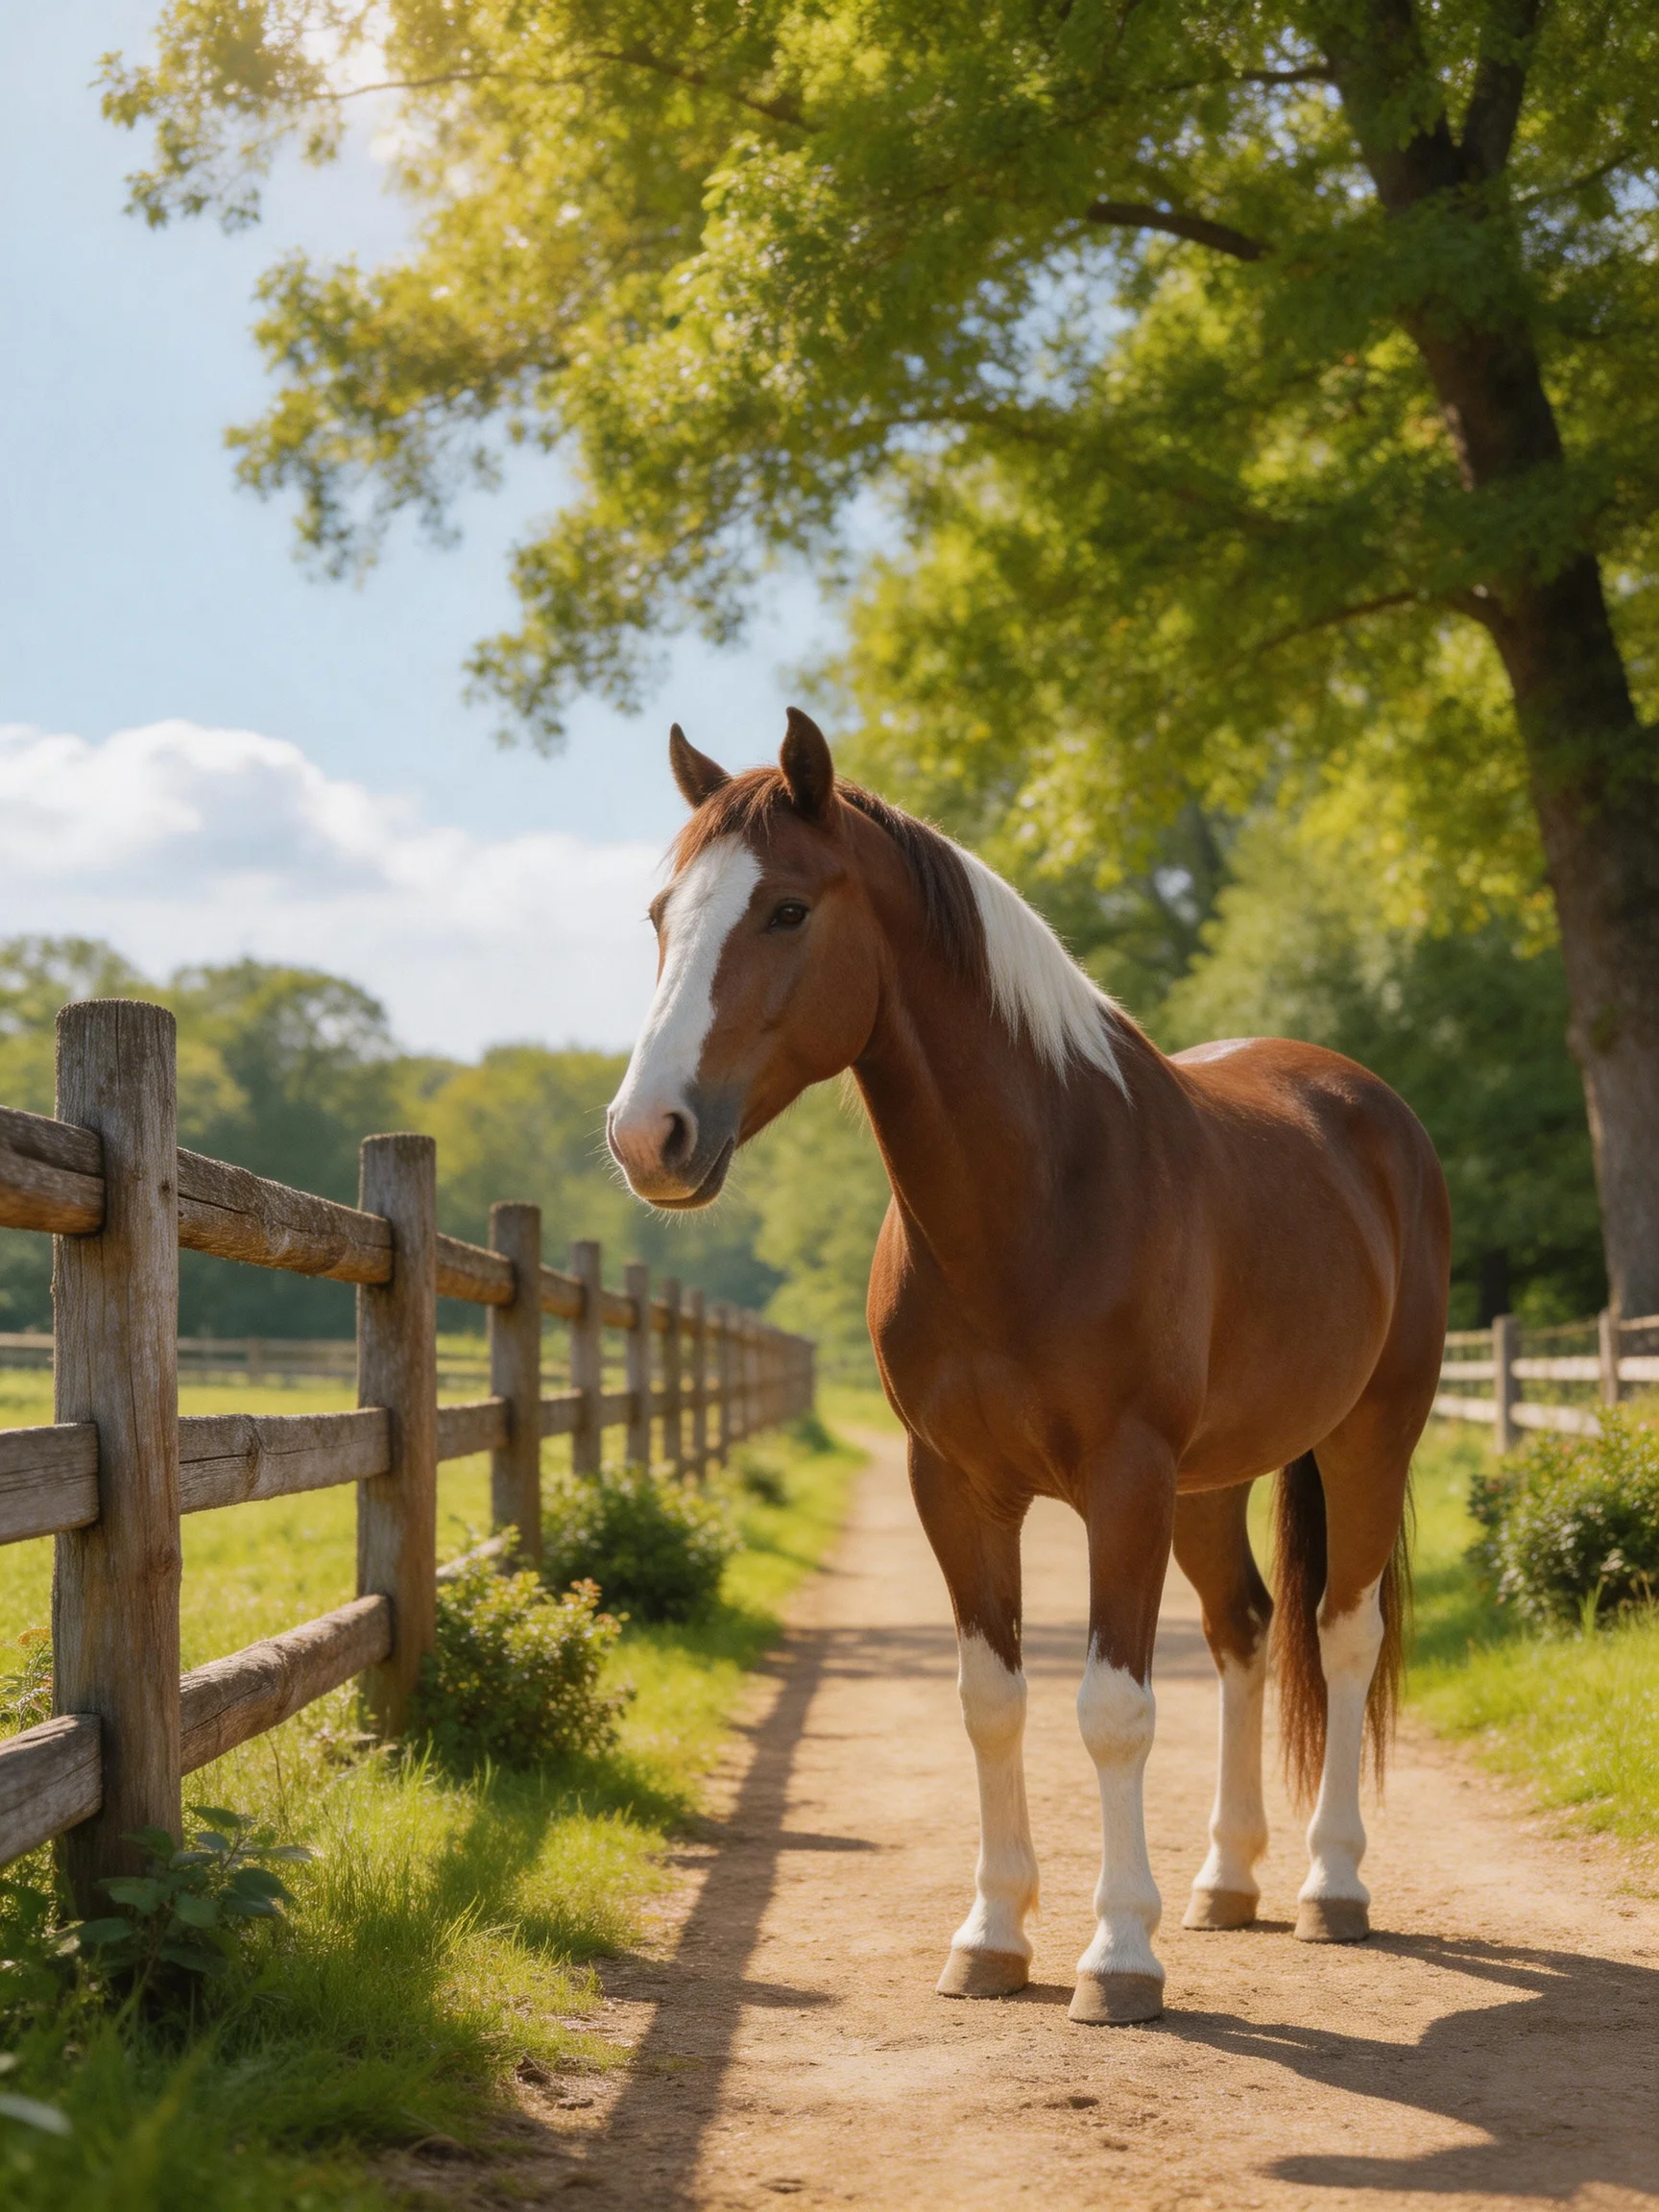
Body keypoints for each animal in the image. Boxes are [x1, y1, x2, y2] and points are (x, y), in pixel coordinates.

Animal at [607, 708, 1450, 2026]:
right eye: (661, 913)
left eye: (787, 909)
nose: (649, 1136)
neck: (1037, 1196)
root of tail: (1368, 1109)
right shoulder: (955, 1485)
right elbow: (990, 1702)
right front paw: (993, 1938)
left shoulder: (1124, 1482)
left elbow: (1112, 1710)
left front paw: (1118, 1957)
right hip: (1212, 1483)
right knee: (1248, 1632)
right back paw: (1227, 1880)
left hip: (1371, 1432)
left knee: (1341, 1633)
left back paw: (1331, 1885)